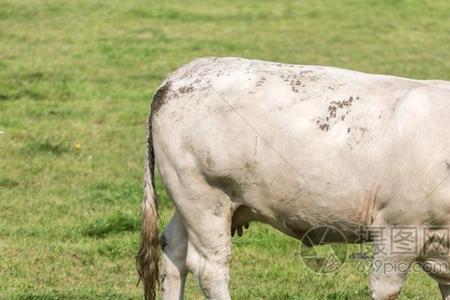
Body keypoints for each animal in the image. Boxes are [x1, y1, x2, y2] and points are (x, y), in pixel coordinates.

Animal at [136, 57, 450, 298]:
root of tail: (182, 75)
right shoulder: (397, 229)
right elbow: (386, 288)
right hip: (204, 197)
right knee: (209, 267)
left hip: (186, 198)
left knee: (174, 251)